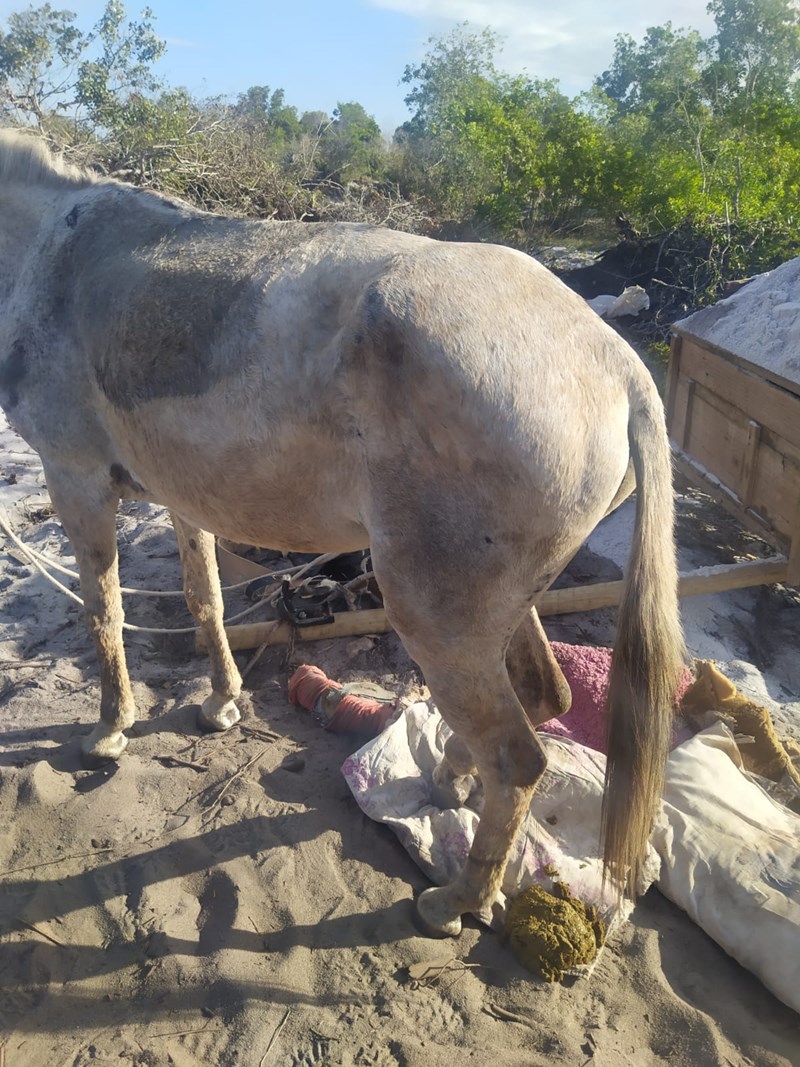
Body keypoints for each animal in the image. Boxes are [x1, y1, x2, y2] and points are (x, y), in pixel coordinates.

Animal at [1, 131, 691, 934]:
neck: (47, 252)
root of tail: (614, 363)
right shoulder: (180, 496)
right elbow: (206, 600)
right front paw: (221, 702)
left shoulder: (74, 479)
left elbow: (103, 613)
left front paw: (111, 727)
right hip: (494, 607)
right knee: (542, 697)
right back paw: (451, 782)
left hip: (434, 615)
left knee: (518, 759)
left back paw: (459, 899)